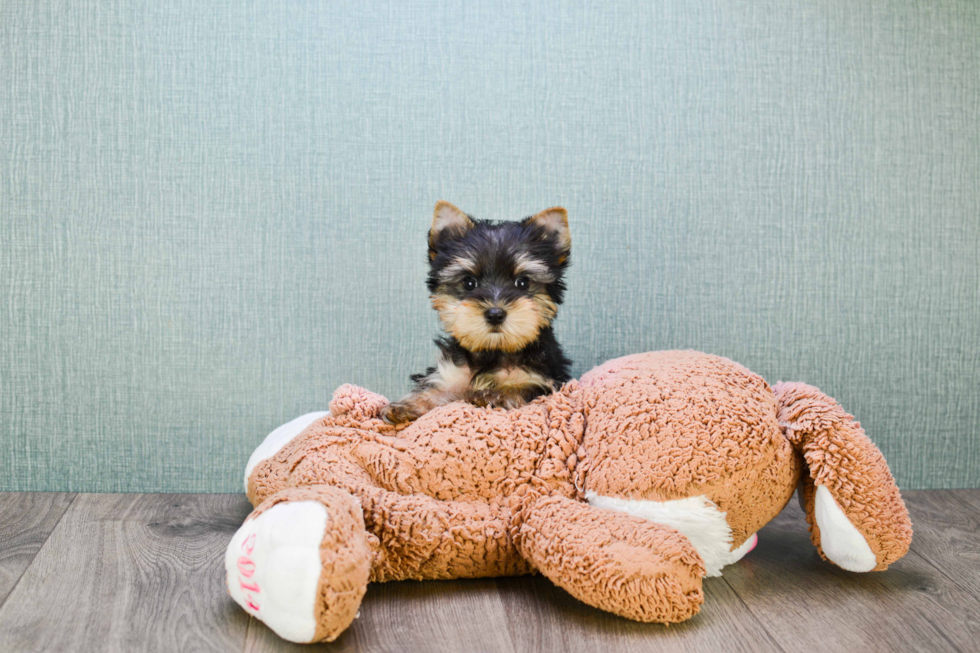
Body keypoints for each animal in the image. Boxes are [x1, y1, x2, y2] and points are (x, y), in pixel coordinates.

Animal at [378, 201, 572, 426]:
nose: (495, 313)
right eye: (469, 283)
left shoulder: (544, 379)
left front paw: (496, 394)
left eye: (522, 283)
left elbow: (524, 386)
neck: (493, 351)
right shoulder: (451, 375)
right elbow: (433, 390)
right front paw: (405, 406)